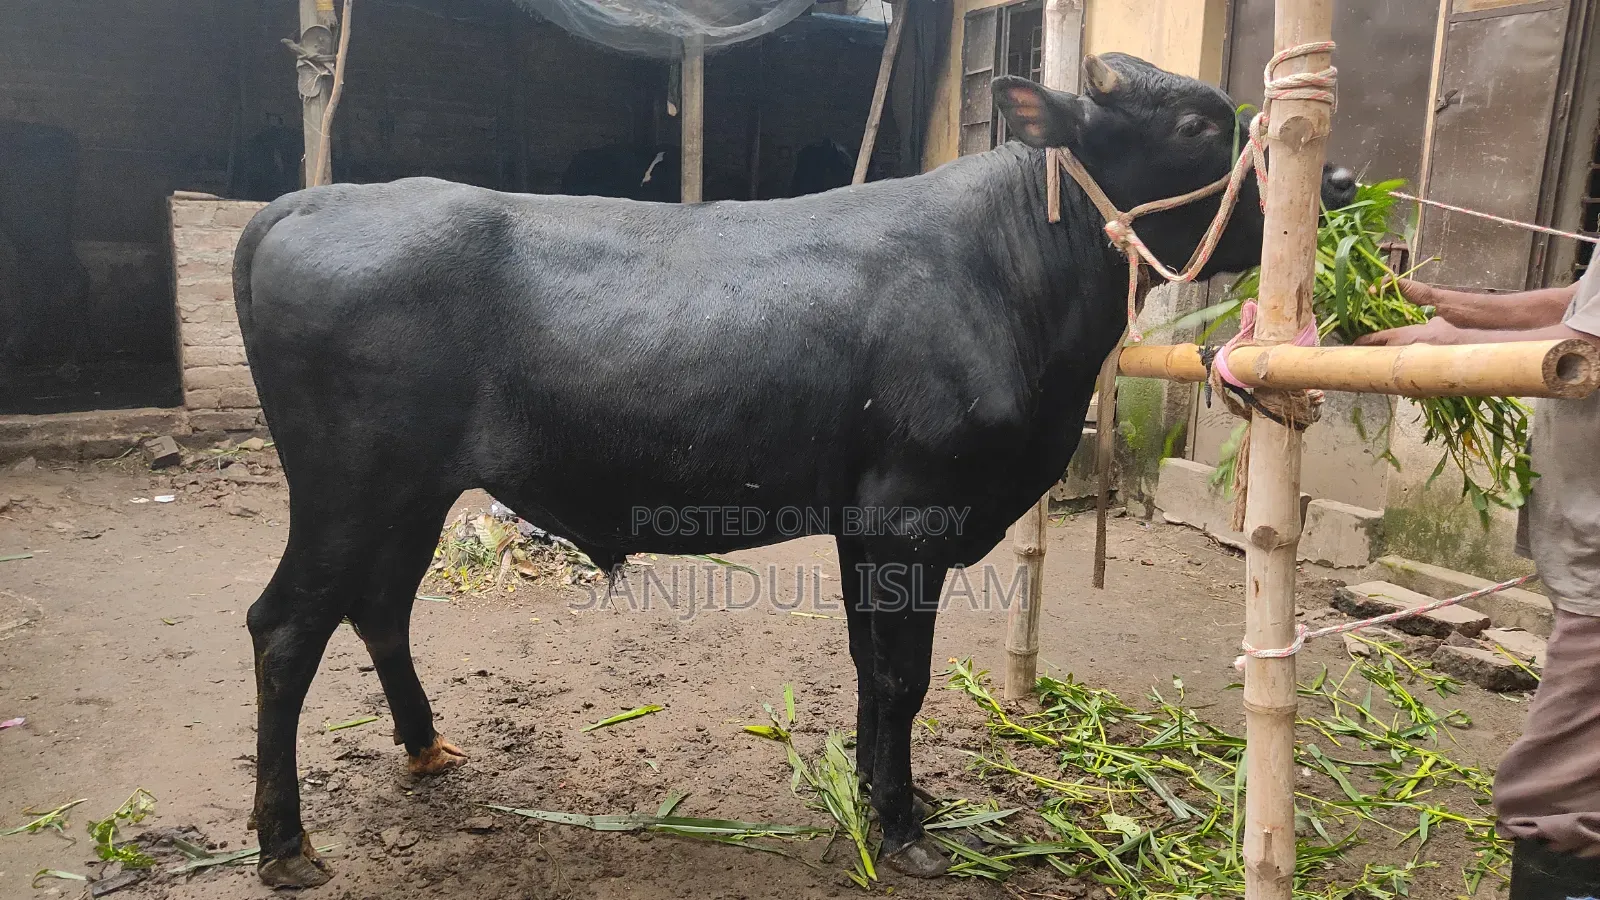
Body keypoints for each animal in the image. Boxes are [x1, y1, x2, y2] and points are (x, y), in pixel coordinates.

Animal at [233, 53, 1356, 887]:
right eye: (1200, 127)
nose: (1340, 180)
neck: (1008, 275)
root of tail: (309, 200)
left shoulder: (867, 524)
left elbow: (869, 669)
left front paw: (879, 797)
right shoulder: (913, 515)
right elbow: (902, 677)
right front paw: (904, 830)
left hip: (407, 492)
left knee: (378, 606)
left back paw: (426, 748)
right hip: (349, 484)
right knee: (286, 626)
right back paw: (285, 844)